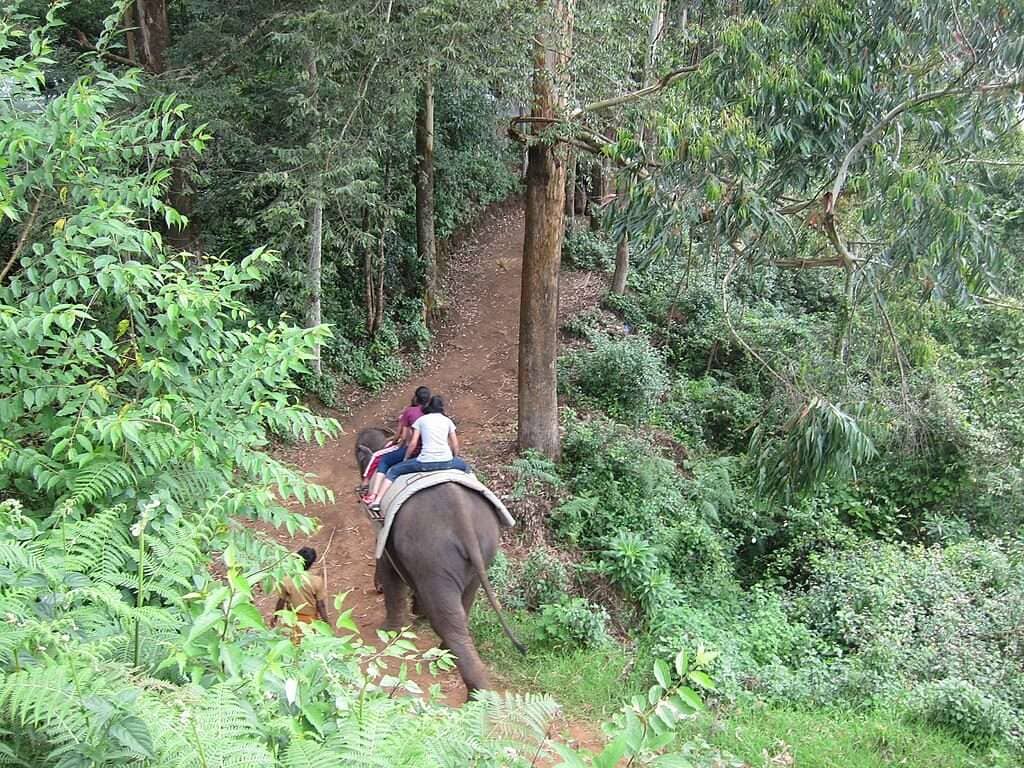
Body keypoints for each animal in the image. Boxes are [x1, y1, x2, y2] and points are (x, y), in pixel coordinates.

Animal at [356, 428, 524, 696]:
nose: (361, 491)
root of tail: (463, 521)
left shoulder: (385, 529)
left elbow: (387, 564)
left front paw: (388, 630)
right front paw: (416, 612)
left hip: (433, 553)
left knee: (447, 618)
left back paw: (473, 693)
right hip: (482, 548)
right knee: (462, 605)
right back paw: (446, 654)